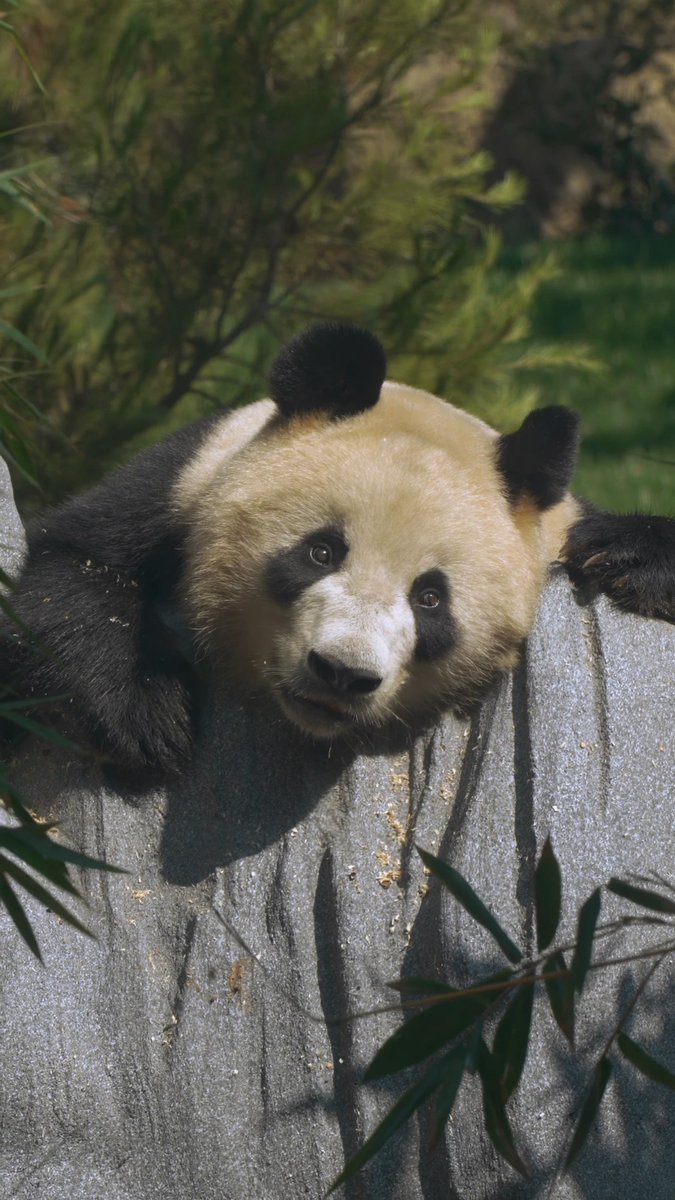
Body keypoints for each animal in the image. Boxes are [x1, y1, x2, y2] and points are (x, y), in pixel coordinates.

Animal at [1, 323, 674, 776]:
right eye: (321, 552)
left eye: (430, 599)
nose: (343, 673)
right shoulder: (185, 476)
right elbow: (73, 567)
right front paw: (148, 713)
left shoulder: (554, 527)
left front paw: (627, 559)